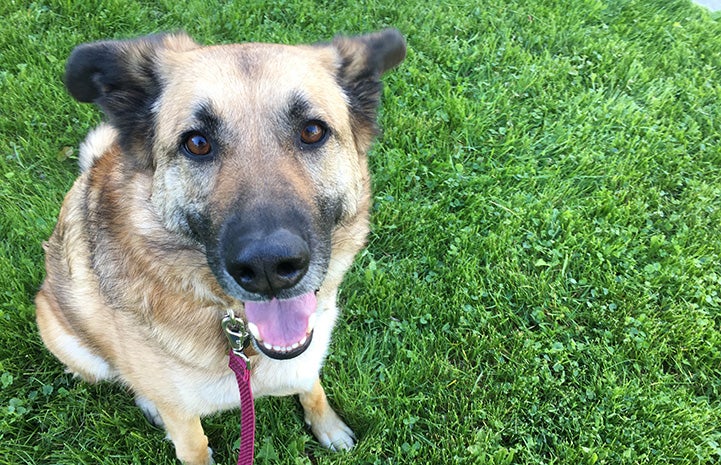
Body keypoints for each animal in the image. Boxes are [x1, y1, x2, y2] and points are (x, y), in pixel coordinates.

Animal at [35, 29, 404, 464]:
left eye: (312, 132)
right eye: (196, 142)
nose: (267, 267)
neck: (238, 333)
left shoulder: (307, 353)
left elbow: (312, 388)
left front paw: (327, 425)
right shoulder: (183, 419)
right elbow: (194, 446)